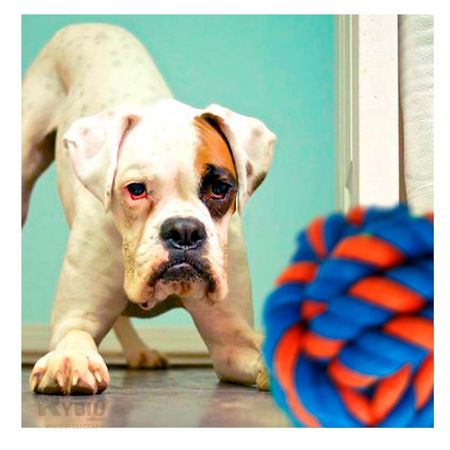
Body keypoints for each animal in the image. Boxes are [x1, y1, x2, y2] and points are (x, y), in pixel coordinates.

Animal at [22, 23, 276, 394]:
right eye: (136, 190)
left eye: (219, 189)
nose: (184, 230)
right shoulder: (76, 317)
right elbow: (75, 335)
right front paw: (71, 359)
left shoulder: (232, 341)